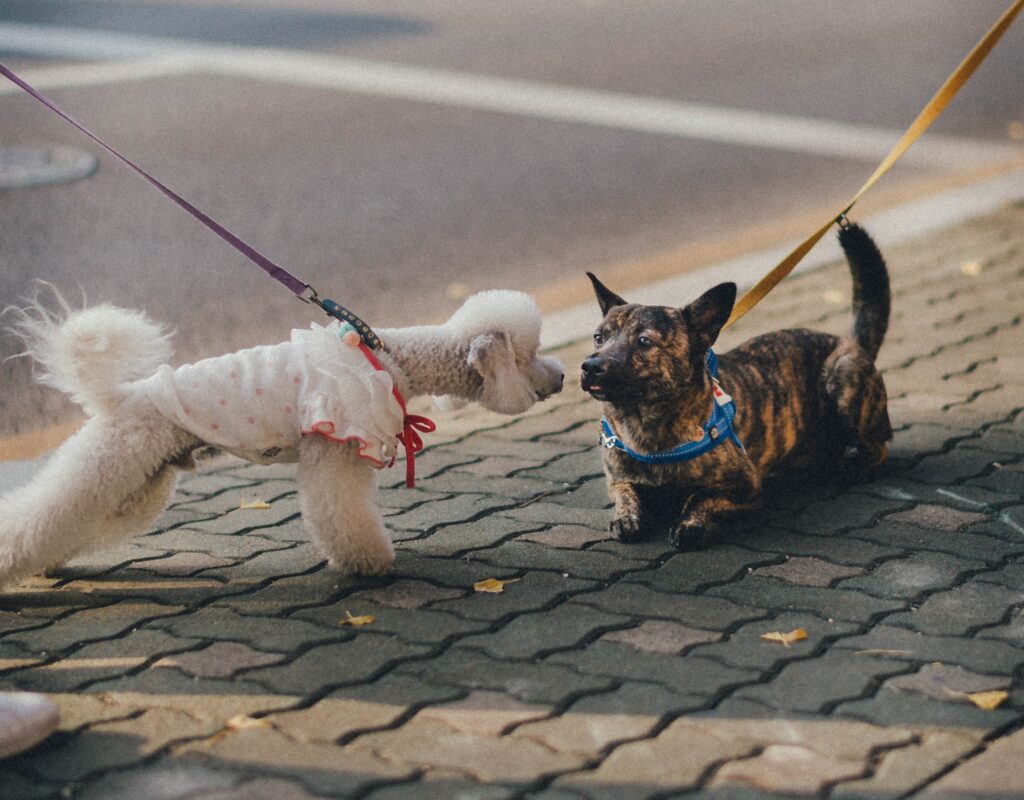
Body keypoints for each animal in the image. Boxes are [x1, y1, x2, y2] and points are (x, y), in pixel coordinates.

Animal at [581, 224, 892, 549]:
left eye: (644, 341)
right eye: (598, 338)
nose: (590, 366)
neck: (644, 422)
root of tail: (851, 343)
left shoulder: (746, 486)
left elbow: (700, 494)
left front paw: (689, 523)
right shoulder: (618, 479)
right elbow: (626, 493)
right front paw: (627, 516)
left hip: (843, 378)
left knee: (878, 449)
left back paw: (853, 467)